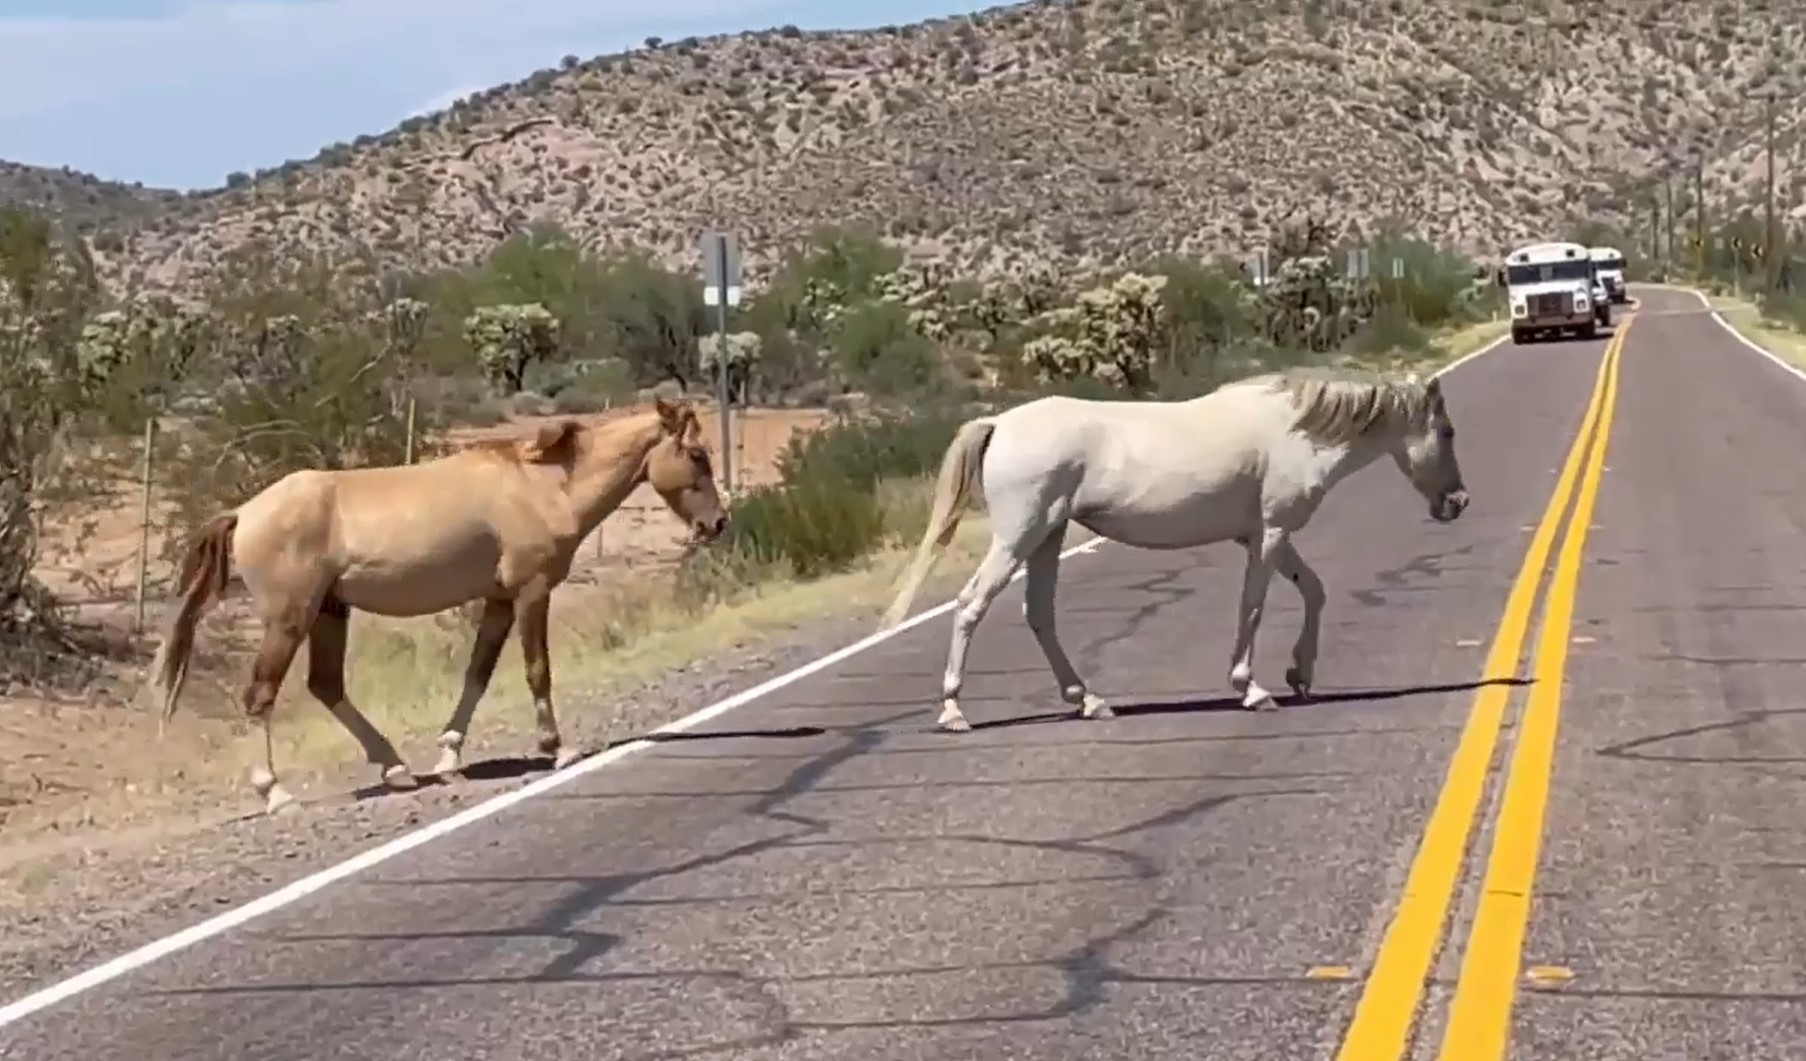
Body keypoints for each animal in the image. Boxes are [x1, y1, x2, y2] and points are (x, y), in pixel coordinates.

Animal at [144, 395, 726, 813]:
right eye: (697, 454)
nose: (717, 524)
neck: (543, 485)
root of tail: (243, 513)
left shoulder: (498, 599)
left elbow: (478, 674)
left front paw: (449, 757)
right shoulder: (532, 591)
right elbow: (537, 670)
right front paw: (558, 749)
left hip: (330, 612)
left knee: (326, 686)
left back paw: (397, 769)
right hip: (290, 620)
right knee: (261, 694)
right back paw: (277, 794)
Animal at [884, 366, 1466, 730]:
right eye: (1448, 431)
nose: (1457, 502)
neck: (1297, 431)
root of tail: (999, 423)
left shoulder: (1264, 536)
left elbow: (1314, 592)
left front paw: (1300, 675)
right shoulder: (1272, 534)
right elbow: (1253, 607)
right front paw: (1253, 690)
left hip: (1047, 536)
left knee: (1039, 615)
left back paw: (1090, 701)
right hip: (1019, 537)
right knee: (971, 605)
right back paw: (954, 711)